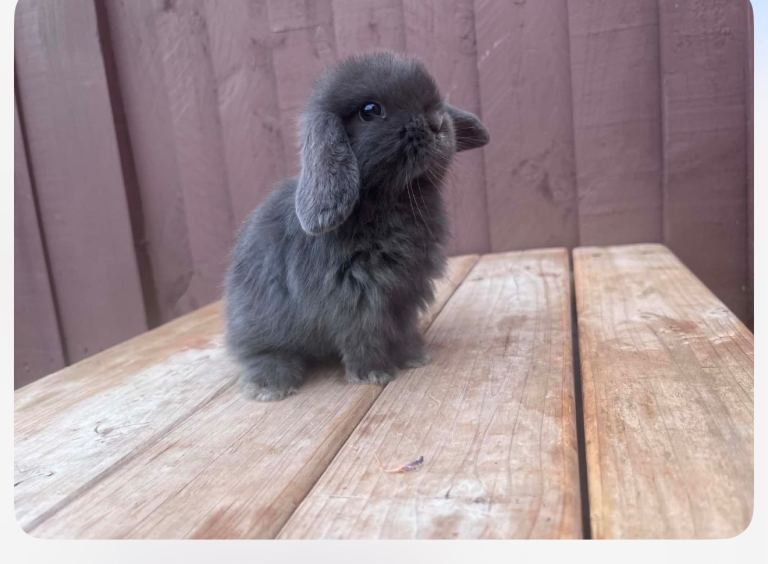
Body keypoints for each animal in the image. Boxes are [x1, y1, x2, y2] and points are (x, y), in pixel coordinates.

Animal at [224, 51, 489, 401]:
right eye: (370, 111)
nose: (437, 123)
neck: (392, 200)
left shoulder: (404, 293)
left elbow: (401, 329)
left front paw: (414, 357)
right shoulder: (356, 298)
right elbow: (363, 337)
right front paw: (373, 373)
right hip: (260, 323)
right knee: (258, 353)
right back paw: (271, 385)